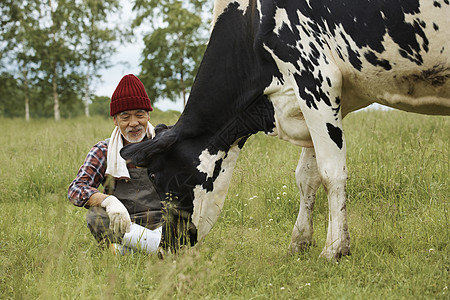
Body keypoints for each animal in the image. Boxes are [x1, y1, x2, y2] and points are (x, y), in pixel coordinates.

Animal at [121, 0, 448, 258]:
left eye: (155, 174)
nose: (165, 247)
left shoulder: (316, 78)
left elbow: (331, 173)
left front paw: (334, 249)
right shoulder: (310, 101)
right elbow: (307, 176)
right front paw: (299, 242)